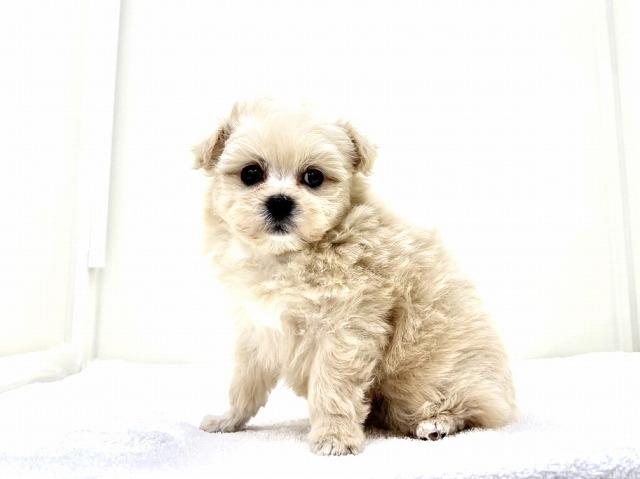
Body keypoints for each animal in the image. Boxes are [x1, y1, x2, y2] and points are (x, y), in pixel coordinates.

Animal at [195, 99, 516, 455]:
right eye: (251, 173)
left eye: (313, 177)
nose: (279, 202)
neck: (290, 255)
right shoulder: (257, 329)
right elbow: (244, 384)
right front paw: (229, 419)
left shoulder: (347, 327)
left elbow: (331, 387)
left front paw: (334, 437)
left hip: (434, 379)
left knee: (470, 410)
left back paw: (437, 423)